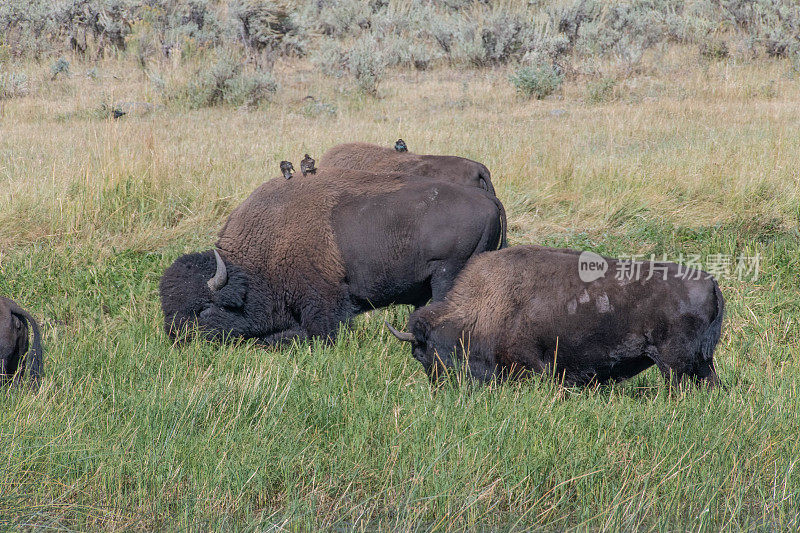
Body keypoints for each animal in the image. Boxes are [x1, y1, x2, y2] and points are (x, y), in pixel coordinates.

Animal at [388, 244, 724, 386]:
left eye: (423, 354)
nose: (439, 388)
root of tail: (710, 281)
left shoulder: (532, 362)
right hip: (701, 362)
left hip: (674, 364)